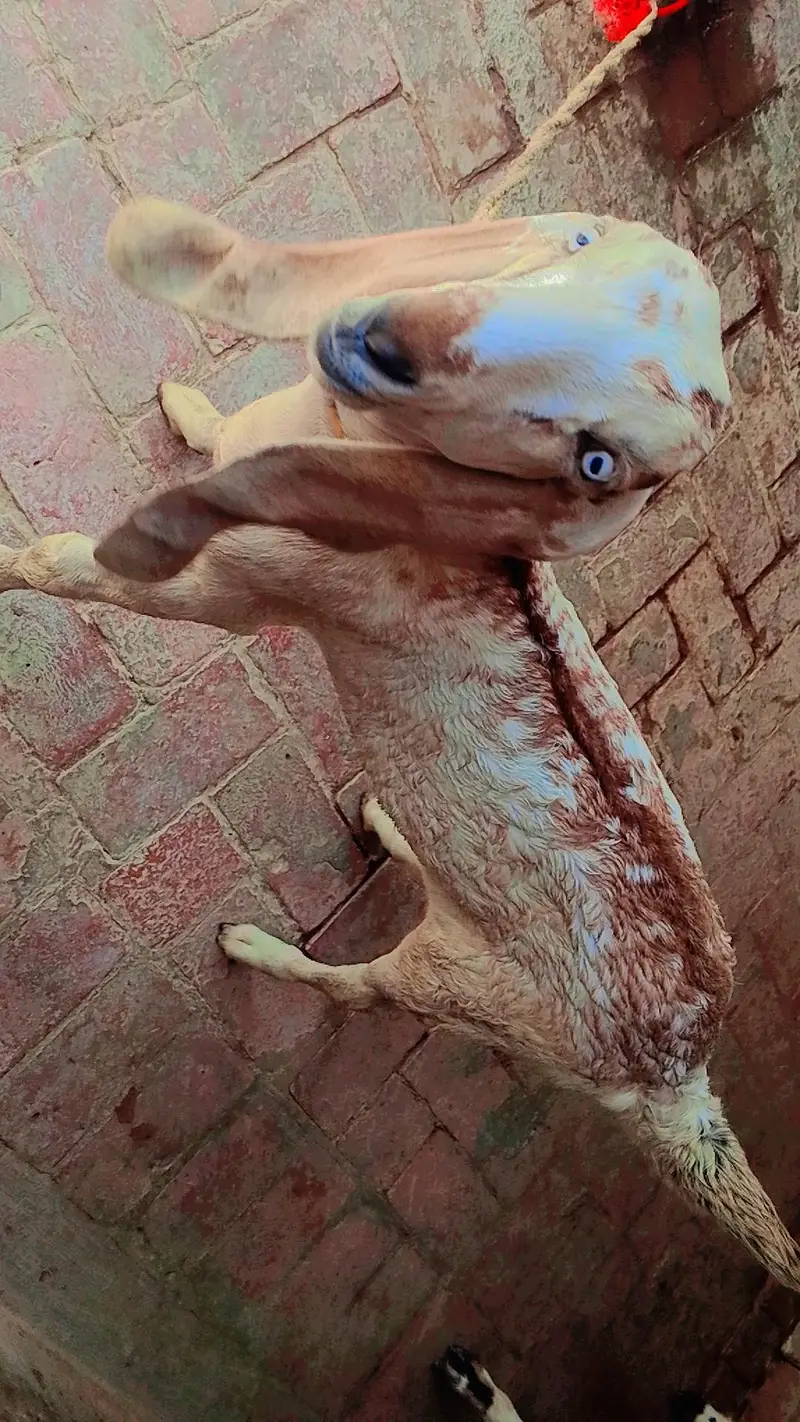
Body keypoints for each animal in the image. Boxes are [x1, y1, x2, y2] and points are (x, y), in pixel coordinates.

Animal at [2, 198, 798, 1291]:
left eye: (596, 460)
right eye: (575, 244)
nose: (385, 343)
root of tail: (679, 1079)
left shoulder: (224, 590)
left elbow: (68, 566)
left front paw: (11, 561)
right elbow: (213, 433)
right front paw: (186, 405)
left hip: (454, 988)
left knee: (352, 984)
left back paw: (254, 943)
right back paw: (383, 817)